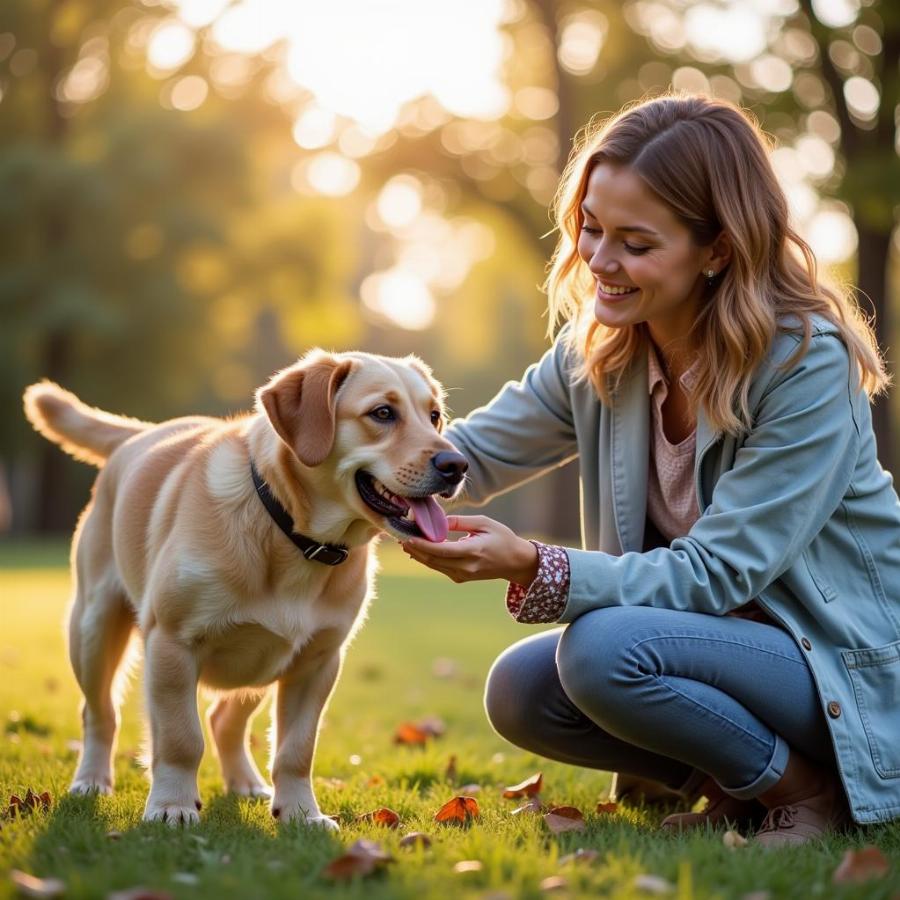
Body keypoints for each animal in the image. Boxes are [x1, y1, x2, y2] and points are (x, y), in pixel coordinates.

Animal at [24, 348, 468, 828]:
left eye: (434, 416)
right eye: (383, 413)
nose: (457, 465)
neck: (291, 536)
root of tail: (142, 433)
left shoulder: (318, 662)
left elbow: (296, 750)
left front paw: (301, 813)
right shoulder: (173, 644)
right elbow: (180, 738)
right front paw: (172, 805)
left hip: (261, 660)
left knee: (223, 719)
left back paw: (246, 783)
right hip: (93, 628)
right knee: (99, 712)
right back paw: (91, 779)